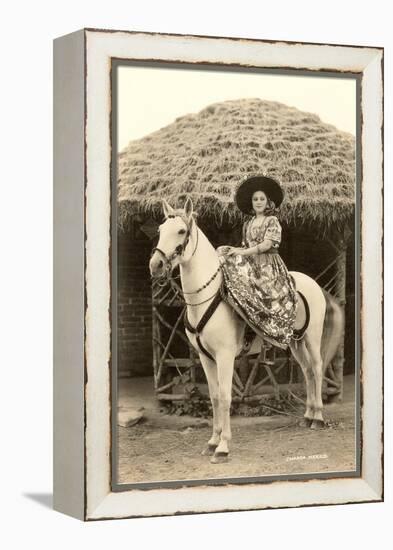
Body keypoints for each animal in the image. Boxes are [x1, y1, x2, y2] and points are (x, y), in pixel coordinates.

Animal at [150, 198, 344, 466]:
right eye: (160, 230)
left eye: (180, 231)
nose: (155, 265)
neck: (206, 298)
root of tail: (314, 284)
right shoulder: (205, 357)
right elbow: (214, 397)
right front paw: (212, 442)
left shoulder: (225, 356)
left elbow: (225, 397)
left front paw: (222, 448)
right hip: (295, 342)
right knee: (307, 372)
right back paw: (307, 416)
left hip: (312, 339)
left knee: (316, 368)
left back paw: (318, 418)